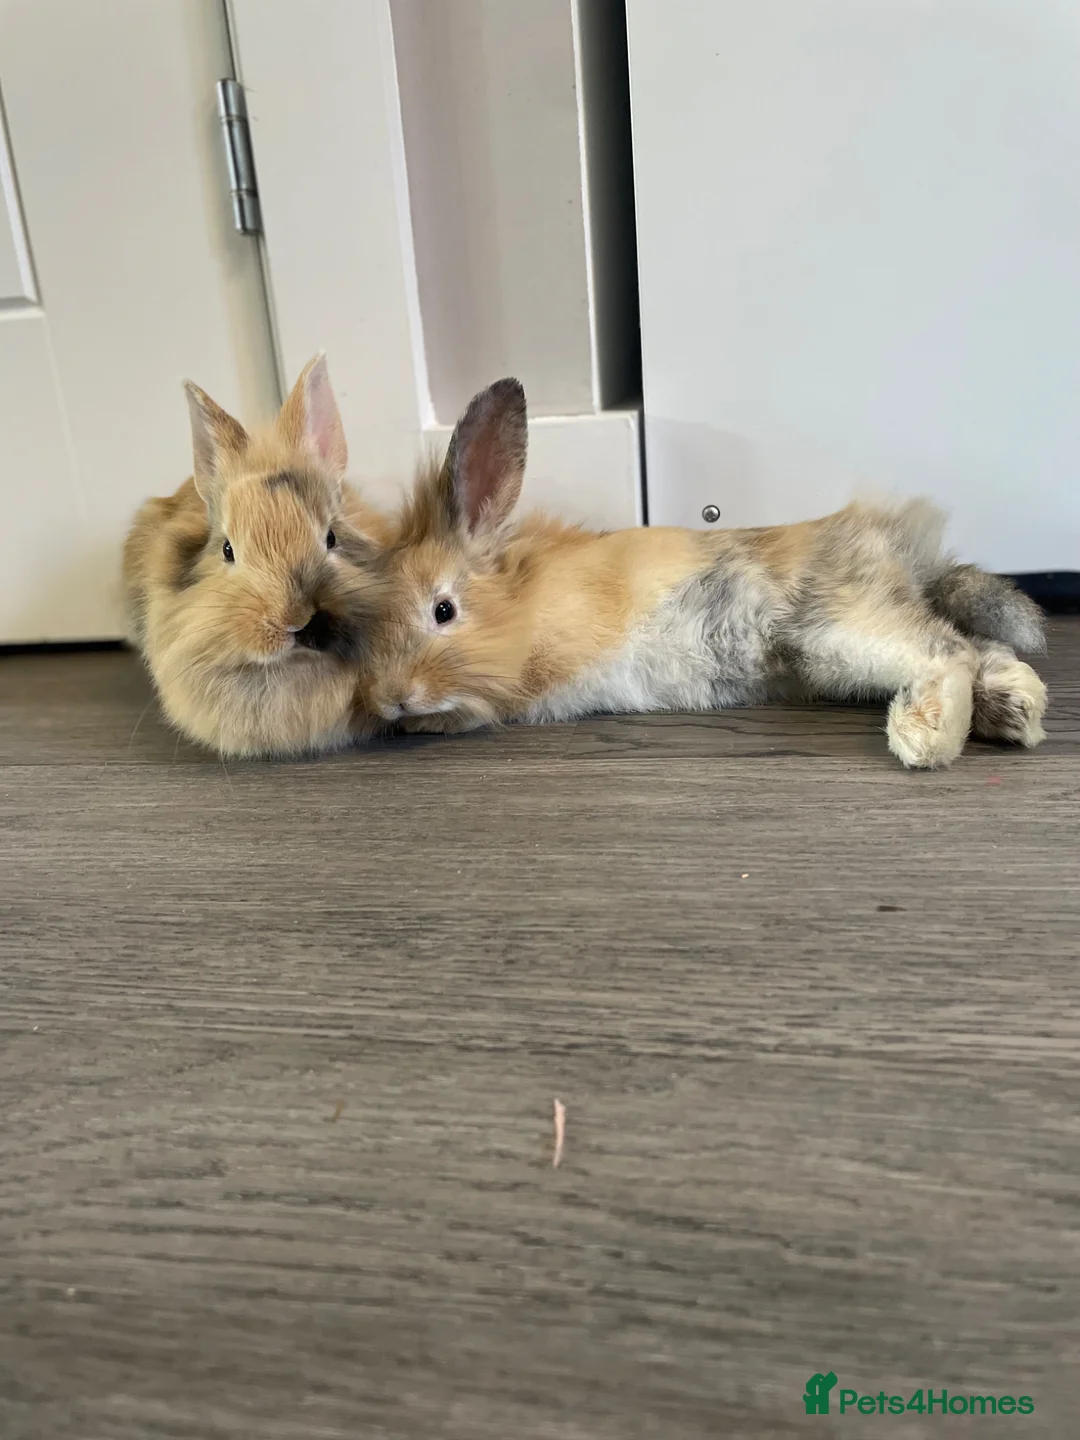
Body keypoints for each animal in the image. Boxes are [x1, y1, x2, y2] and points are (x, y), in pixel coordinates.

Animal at [361, 377, 1048, 769]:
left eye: (443, 610)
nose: (391, 697)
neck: (522, 605)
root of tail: (891, 546)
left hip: (837, 628)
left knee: (946, 653)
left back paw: (926, 737)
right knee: (975, 648)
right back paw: (1017, 711)